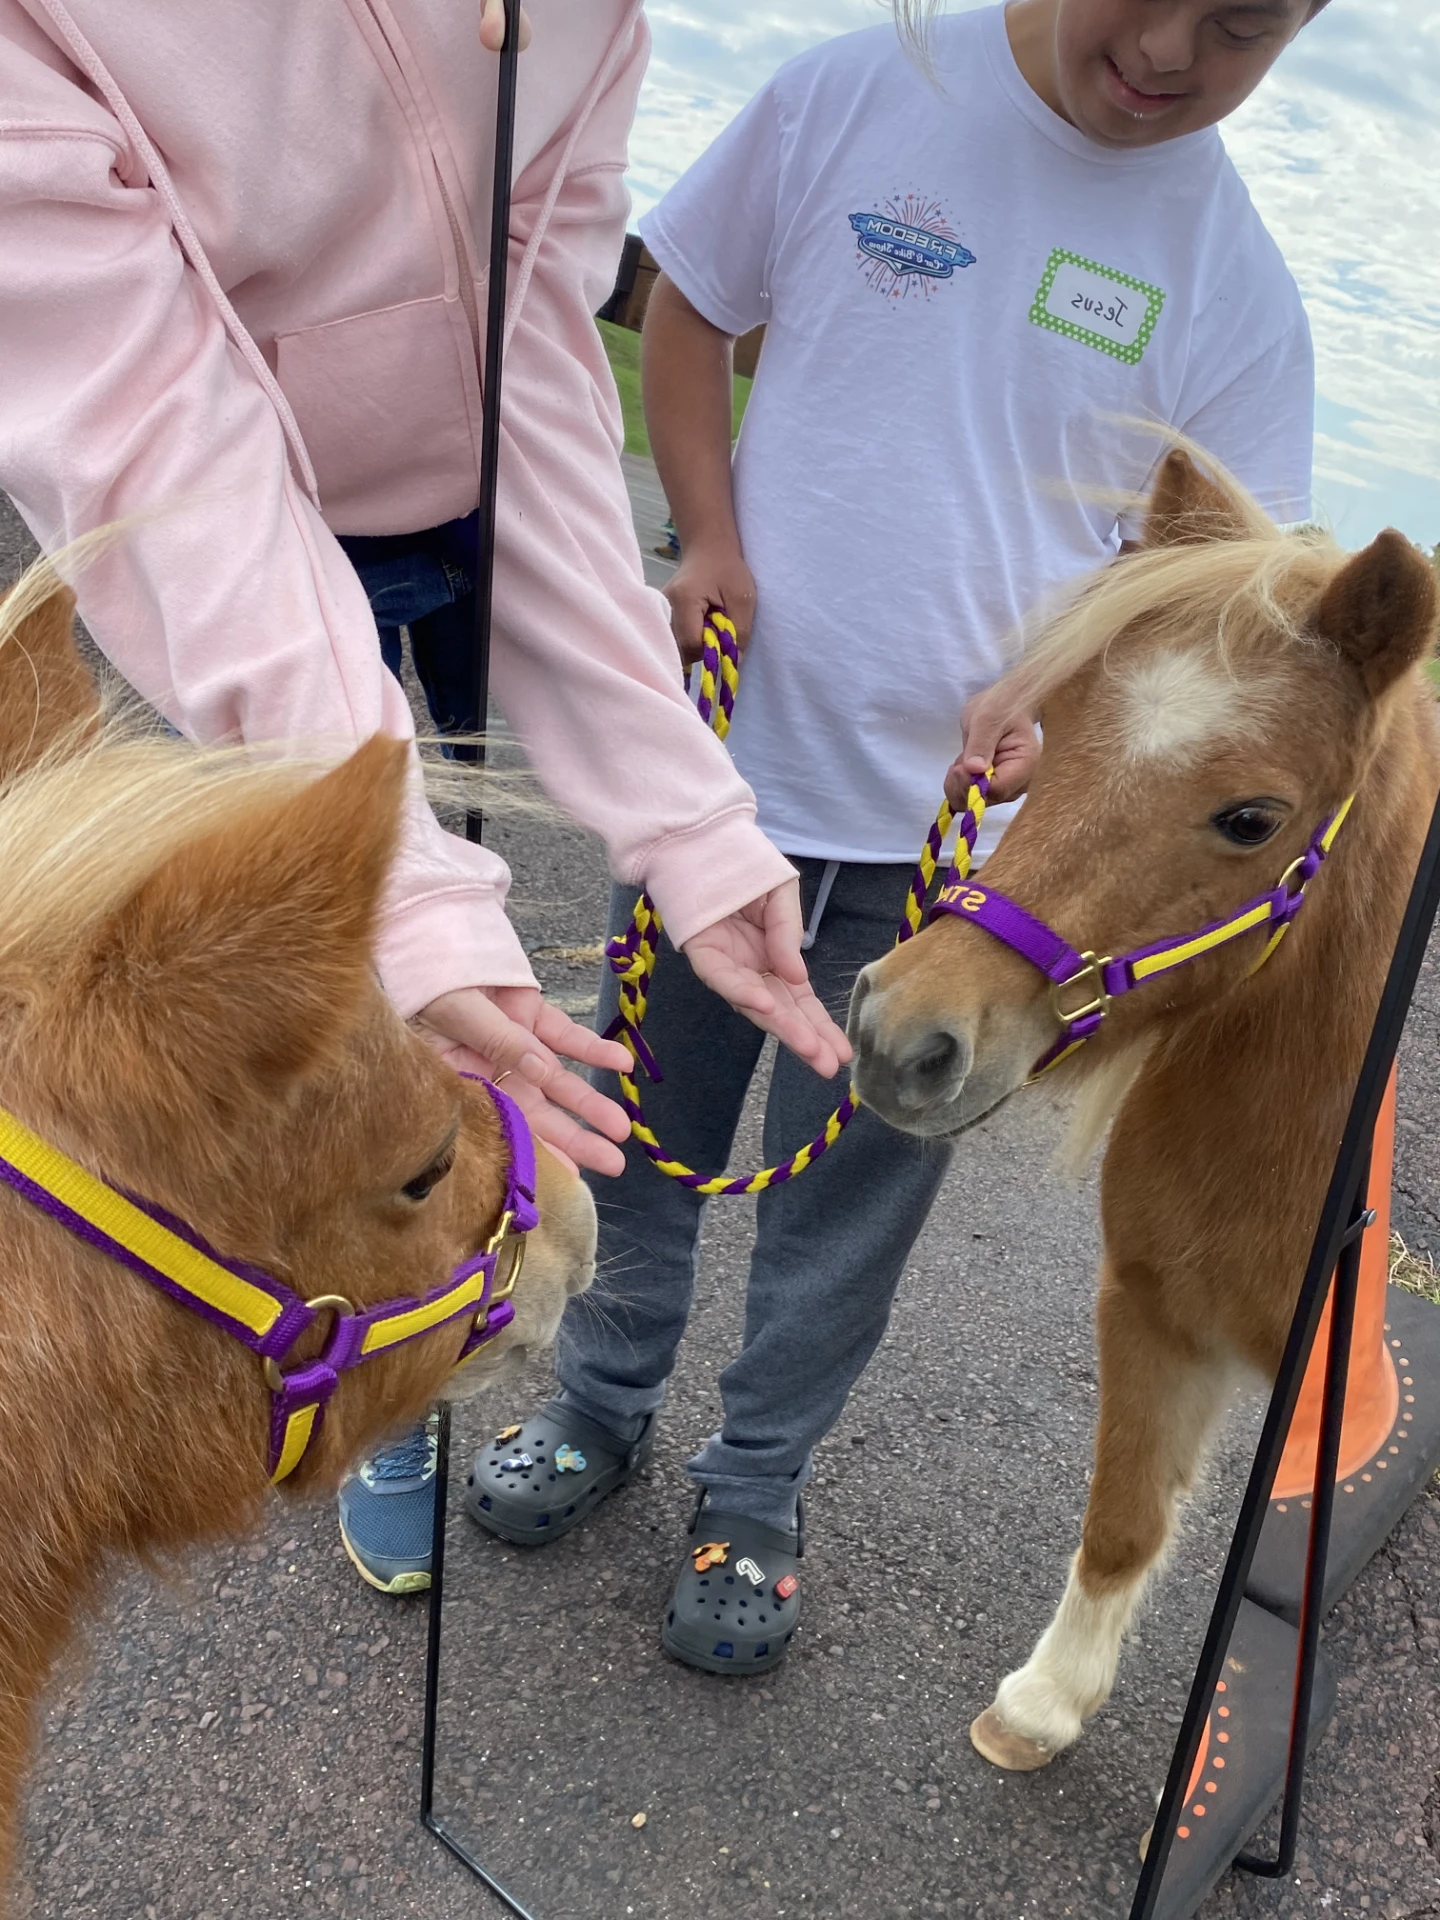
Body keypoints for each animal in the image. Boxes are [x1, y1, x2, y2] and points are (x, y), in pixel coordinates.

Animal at [850, 448, 1439, 1774]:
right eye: (1057, 728)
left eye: (1252, 817)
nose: (900, 1036)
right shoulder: (1155, 1313)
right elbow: (1121, 1519)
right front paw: (1042, 1707)